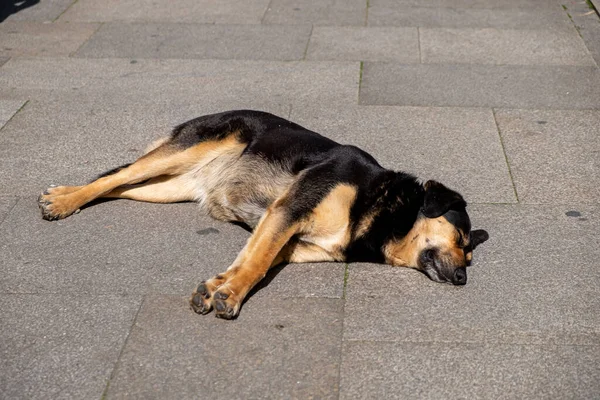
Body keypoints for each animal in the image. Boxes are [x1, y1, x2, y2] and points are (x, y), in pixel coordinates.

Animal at [36, 108, 488, 318]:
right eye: (461, 240)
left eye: (469, 256)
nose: (463, 278)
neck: (377, 204)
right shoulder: (288, 210)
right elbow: (255, 265)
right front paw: (232, 295)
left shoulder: (287, 235)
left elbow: (255, 259)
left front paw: (217, 286)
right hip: (190, 147)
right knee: (114, 176)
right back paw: (63, 200)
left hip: (167, 189)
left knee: (118, 185)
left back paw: (69, 196)